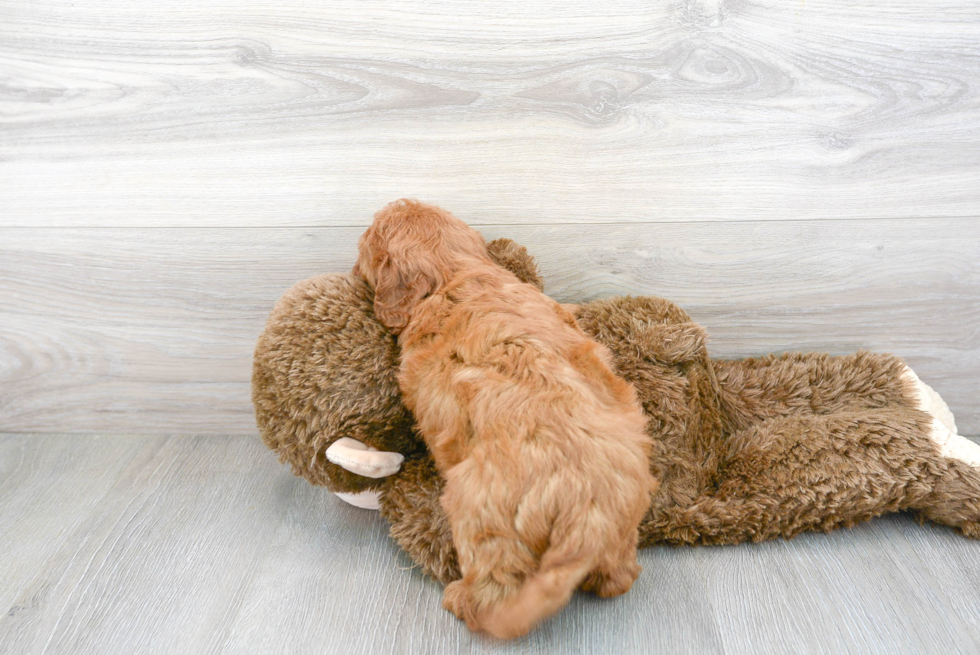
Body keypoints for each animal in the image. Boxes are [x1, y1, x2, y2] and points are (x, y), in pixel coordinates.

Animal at [356, 200, 656, 640]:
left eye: (366, 240)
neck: (454, 273)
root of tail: (587, 511)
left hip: (481, 519)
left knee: (493, 590)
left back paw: (461, 599)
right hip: (624, 522)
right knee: (619, 578)